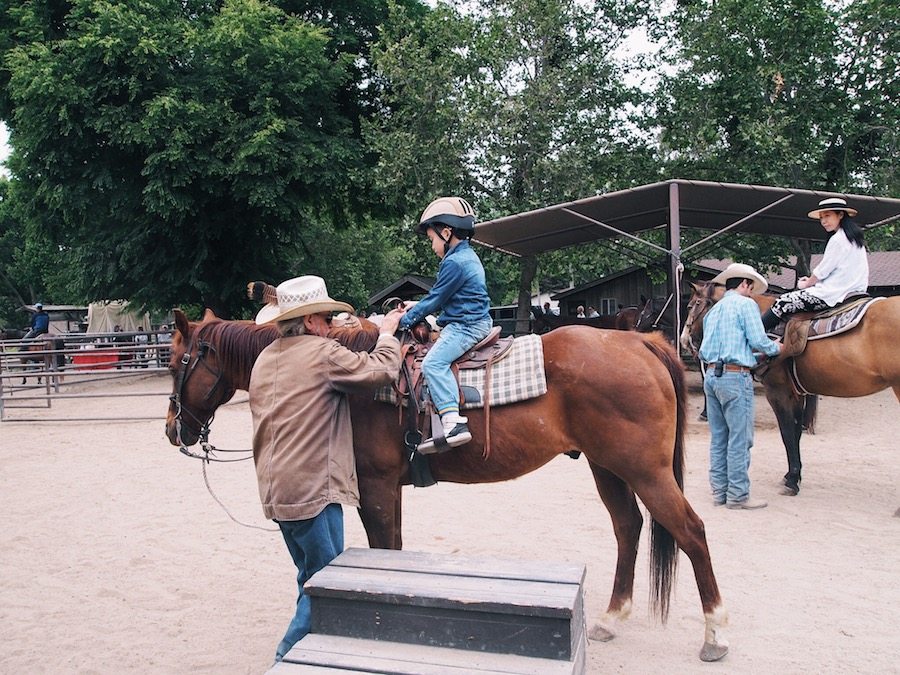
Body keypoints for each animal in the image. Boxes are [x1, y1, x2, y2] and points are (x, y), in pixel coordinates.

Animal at [165, 308, 732, 664]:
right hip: (607, 467)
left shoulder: (375, 489)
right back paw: (613, 616)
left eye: (176, 363)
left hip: (645, 471)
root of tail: (638, 340)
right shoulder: (388, 490)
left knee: (692, 532)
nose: (174, 430)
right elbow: (392, 551)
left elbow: (383, 551)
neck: (357, 383)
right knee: (629, 527)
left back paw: (715, 633)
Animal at [684, 282, 900, 496]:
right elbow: (796, 432)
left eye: (692, 305)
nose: (685, 339)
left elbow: (787, 433)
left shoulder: (778, 392)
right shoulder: (796, 394)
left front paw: (792, 480)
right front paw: (792, 475)